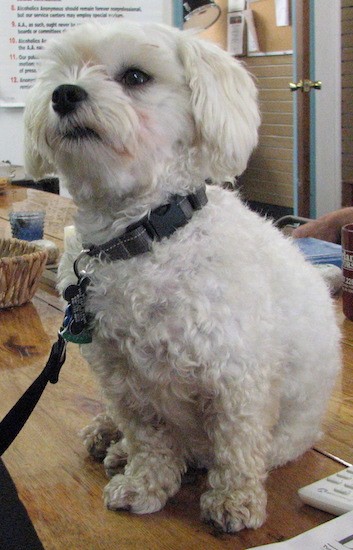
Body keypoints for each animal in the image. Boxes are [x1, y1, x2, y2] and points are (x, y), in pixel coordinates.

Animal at [23, 22, 340, 536]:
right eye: (64, 71)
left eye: (135, 76)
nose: (64, 93)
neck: (144, 237)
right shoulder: (127, 382)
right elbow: (150, 440)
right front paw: (142, 484)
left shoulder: (238, 377)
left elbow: (235, 446)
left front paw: (233, 500)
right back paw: (109, 437)